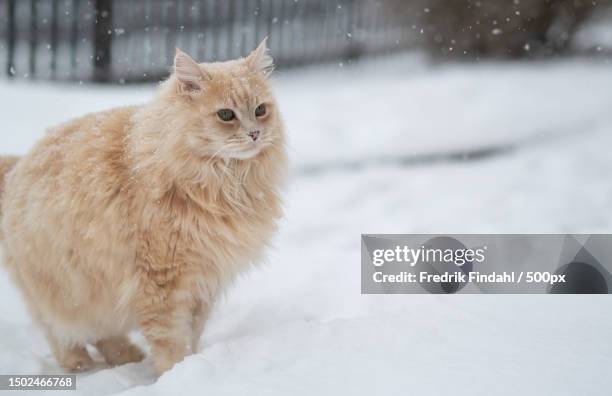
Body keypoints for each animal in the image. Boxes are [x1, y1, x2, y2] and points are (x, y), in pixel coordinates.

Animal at [0, 38, 286, 374]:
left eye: (260, 110)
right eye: (226, 115)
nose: (255, 133)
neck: (224, 184)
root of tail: (17, 166)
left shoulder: (204, 282)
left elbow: (192, 334)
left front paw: (193, 365)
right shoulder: (162, 282)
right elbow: (171, 340)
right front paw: (176, 374)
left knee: (102, 333)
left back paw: (125, 356)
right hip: (62, 291)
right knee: (61, 332)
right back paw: (79, 364)